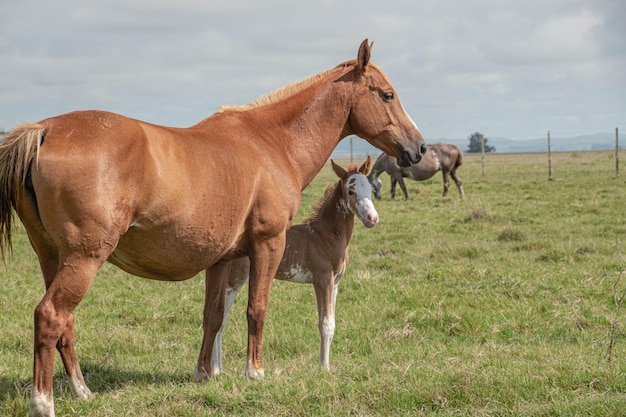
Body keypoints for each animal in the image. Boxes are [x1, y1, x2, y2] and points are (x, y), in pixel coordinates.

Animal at [210, 158, 376, 372]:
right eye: (351, 191)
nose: (372, 218)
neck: (325, 235)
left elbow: (332, 324)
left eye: (371, 188)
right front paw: (324, 368)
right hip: (235, 279)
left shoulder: (336, 283)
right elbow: (325, 324)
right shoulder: (322, 280)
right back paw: (216, 371)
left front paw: (327, 364)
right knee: (221, 319)